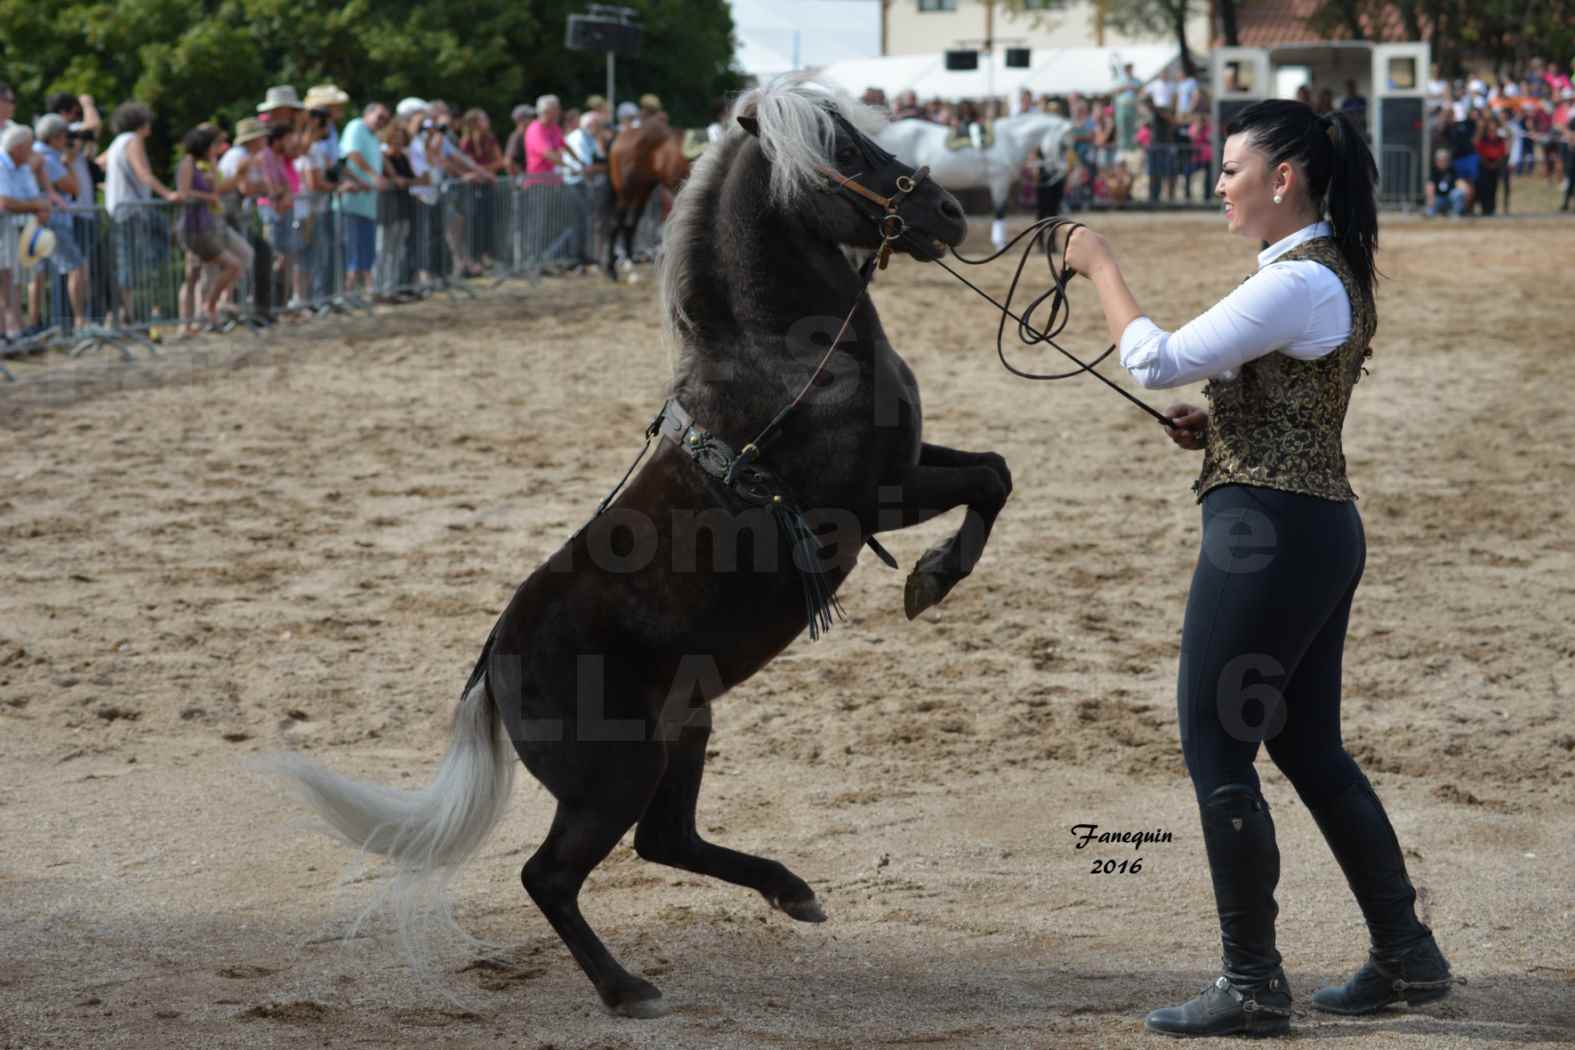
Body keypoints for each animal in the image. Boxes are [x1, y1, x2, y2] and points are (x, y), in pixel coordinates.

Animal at [604, 118, 693, 278]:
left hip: (642, 191)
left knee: (631, 223)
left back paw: (630, 260)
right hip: (626, 193)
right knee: (614, 224)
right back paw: (610, 269)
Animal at [882, 113, 1077, 250]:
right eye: (1063, 145)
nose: (1063, 172)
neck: (1009, 140)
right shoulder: (999, 182)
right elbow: (1000, 211)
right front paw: (999, 243)